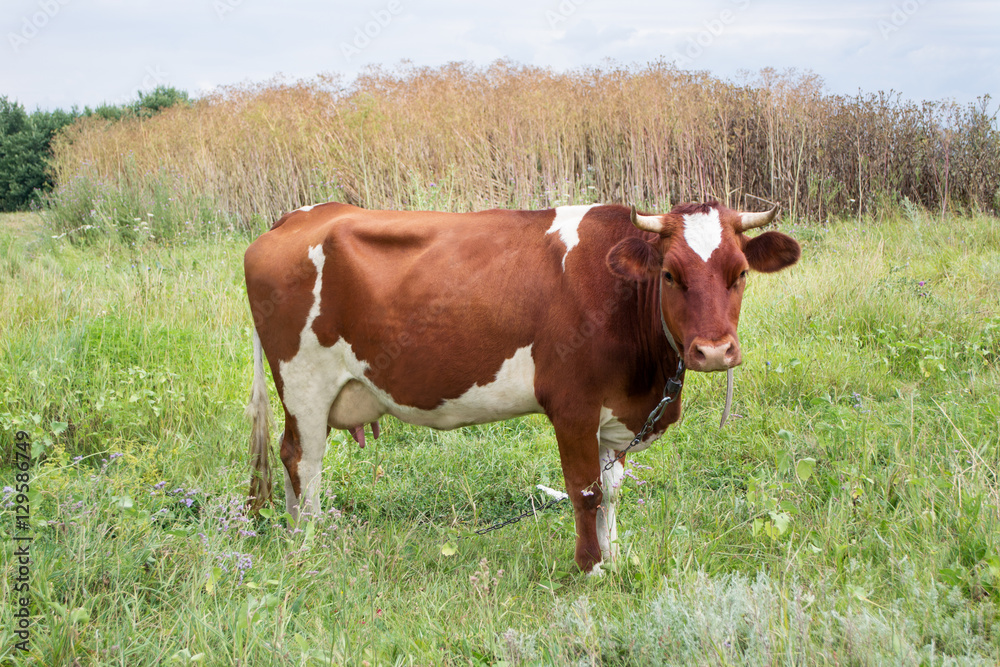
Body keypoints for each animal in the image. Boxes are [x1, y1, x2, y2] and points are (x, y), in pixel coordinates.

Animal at [246, 200, 800, 576]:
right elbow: (585, 490)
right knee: (304, 461)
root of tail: (296, 218)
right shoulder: (573, 408)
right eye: (669, 274)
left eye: (740, 274)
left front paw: (616, 558)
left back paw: (295, 536)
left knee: (289, 456)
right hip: (304, 382)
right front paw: (590, 567)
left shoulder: (616, 416)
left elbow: (613, 491)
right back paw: (311, 546)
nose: (714, 352)